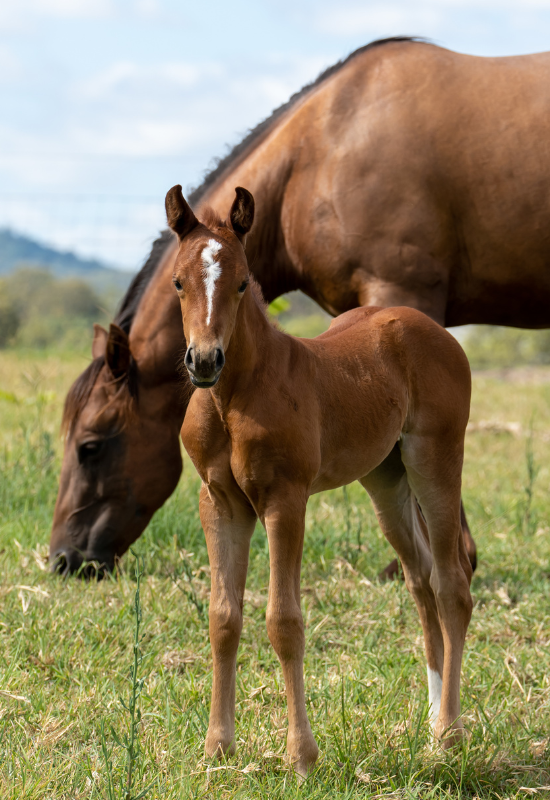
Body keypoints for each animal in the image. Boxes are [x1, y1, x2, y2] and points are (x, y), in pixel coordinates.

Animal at [166, 183, 476, 776]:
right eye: (178, 282)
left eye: (243, 282)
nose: (204, 361)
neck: (235, 396)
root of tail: (432, 330)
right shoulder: (220, 503)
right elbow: (223, 618)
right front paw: (218, 747)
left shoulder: (285, 500)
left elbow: (284, 621)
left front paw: (302, 755)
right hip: (386, 480)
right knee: (421, 580)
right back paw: (430, 722)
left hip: (436, 460)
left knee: (452, 585)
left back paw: (450, 733)